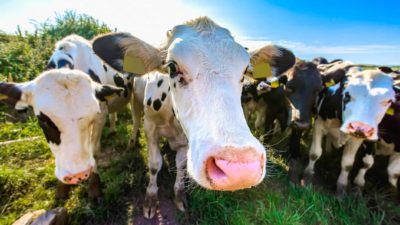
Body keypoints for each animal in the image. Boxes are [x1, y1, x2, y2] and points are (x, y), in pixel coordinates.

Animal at [0, 69, 123, 199]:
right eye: (43, 121)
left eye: (93, 117)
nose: (78, 175)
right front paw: (62, 188)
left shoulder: (101, 115)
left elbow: (94, 151)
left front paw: (94, 187)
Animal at [92, 16, 296, 218]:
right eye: (172, 67)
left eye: (245, 70)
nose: (240, 169)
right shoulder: (150, 128)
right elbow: (154, 164)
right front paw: (150, 199)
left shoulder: (186, 141)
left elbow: (181, 165)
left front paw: (179, 195)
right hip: (134, 100)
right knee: (135, 122)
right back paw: (132, 142)